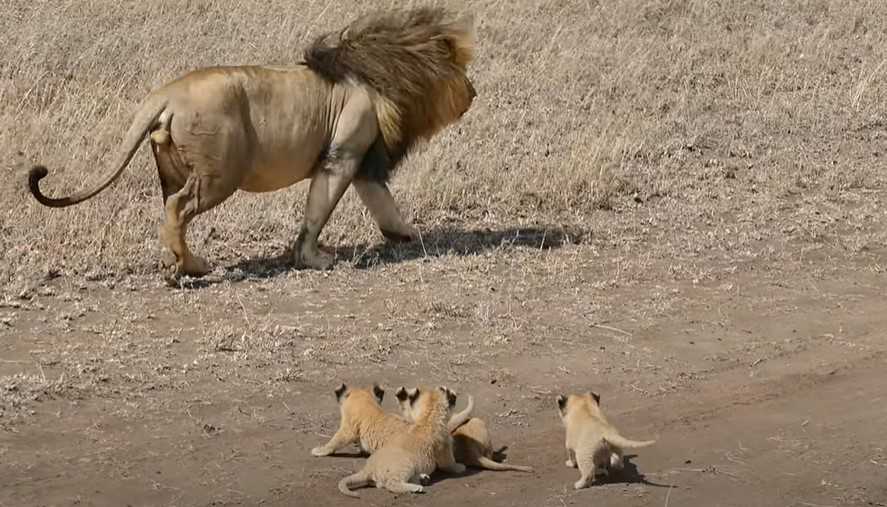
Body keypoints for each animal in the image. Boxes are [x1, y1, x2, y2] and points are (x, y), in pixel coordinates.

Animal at [27, 6, 476, 278]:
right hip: (219, 174)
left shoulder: (364, 160)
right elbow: (319, 210)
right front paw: (313, 259)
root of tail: (168, 93)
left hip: (173, 169)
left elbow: (383, 202)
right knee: (178, 208)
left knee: (169, 210)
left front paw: (406, 236)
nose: (474, 93)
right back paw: (192, 268)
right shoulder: (344, 152)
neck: (384, 72)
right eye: (462, 72)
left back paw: (178, 261)